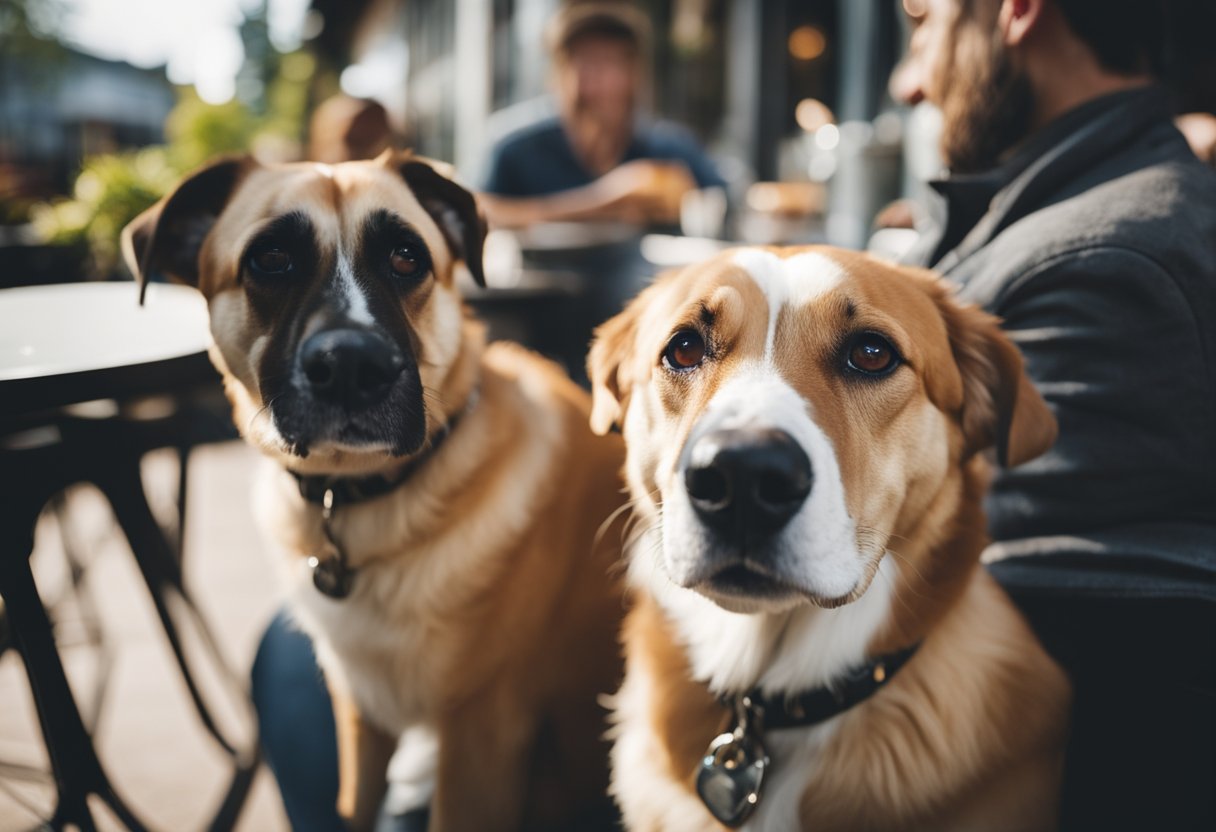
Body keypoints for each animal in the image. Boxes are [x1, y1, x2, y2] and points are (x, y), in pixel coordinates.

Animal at [123, 152, 627, 827]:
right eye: (270, 257)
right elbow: (353, 806)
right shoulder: (360, 714)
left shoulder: (480, 738)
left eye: (407, 257)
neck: (358, 500)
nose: (353, 365)